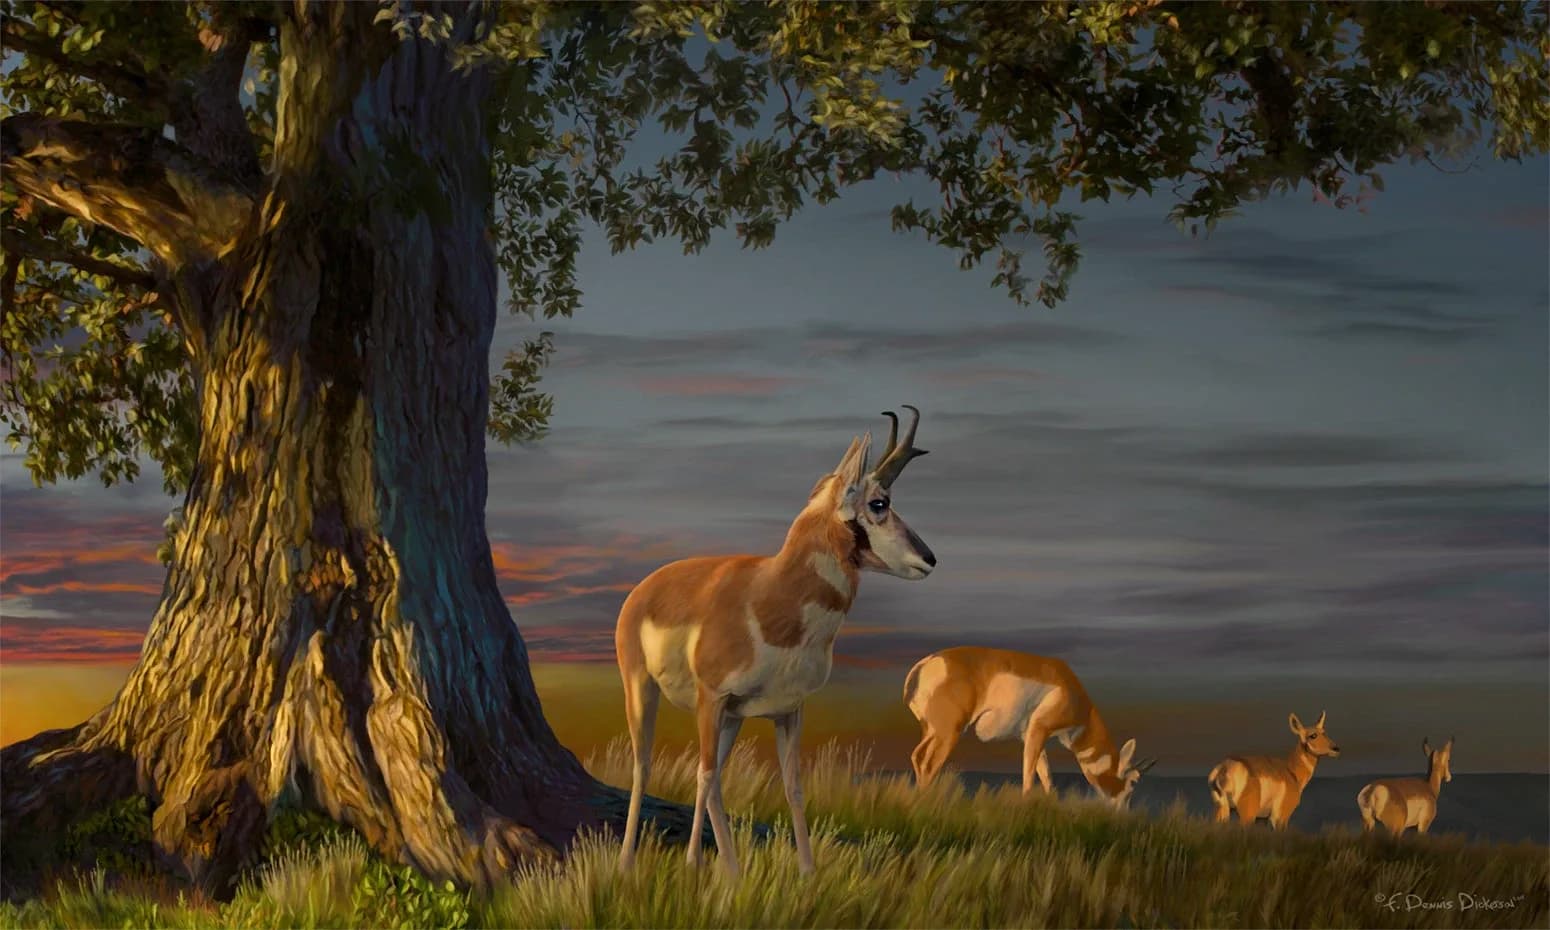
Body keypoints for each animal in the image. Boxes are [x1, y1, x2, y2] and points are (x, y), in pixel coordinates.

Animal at [614, 406, 937, 876]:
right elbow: (706, 776)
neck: (772, 599)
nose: (929, 559)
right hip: (644, 688)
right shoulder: (713, 698)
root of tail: (645, 587)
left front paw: (808, 873)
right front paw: (726, 874)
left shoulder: (787, 709)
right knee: (647, 766)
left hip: (731, 718)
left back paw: (704, 862)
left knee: (707, 774)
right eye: (880, 503)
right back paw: (627, 863)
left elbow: (792, 786)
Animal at [903, 647, 1156, 809]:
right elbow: (1029, 775)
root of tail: (928, 662)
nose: (1122, 815)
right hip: (949, 733)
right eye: (1132, 783)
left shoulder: (1032, 736)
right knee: (928, 762)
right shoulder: (1039, 729)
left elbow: (1046, 775)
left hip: (932, 731)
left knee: (917, 755)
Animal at [1208, 711, 1341, 829]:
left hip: (1221, 810)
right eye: (1313, 735)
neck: (1290, 771)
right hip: (1247, 815)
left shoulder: (1262, 819)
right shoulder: (1280, 817)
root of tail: (1224, 767)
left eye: (1325, 733)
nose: (1336, 748)